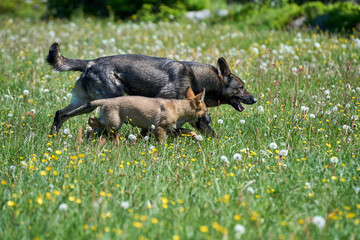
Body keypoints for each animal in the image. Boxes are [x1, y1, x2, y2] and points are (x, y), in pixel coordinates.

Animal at [47, 42, 256, 134]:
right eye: (241, 87)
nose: (255, 99)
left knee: (60, 113)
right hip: (106, 99)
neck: (197, 78)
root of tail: (90, 62)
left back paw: (54, 135)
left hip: (86, 103)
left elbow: (209, 132)